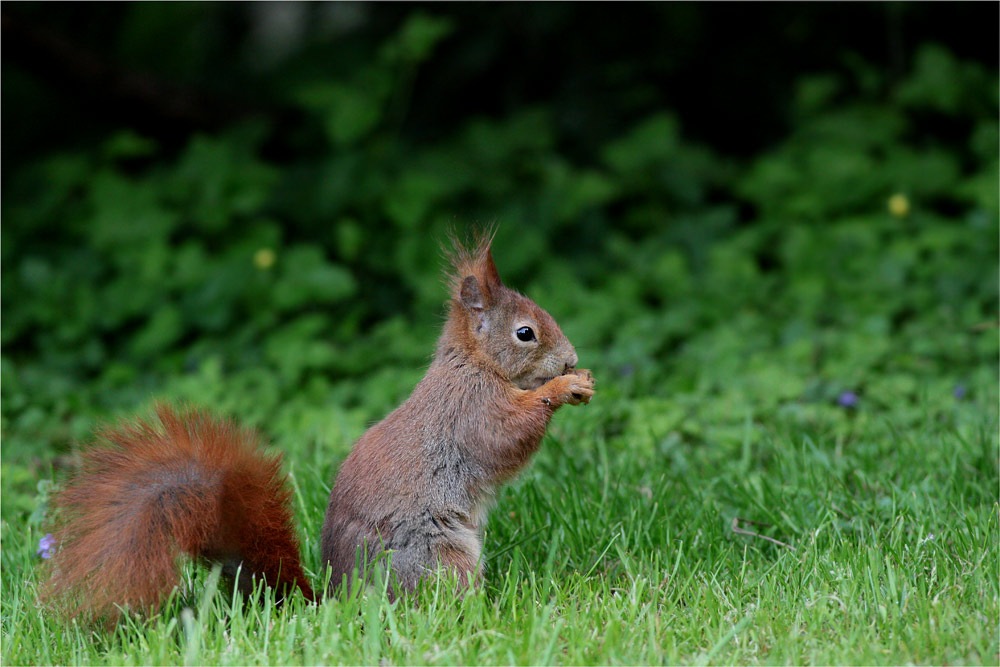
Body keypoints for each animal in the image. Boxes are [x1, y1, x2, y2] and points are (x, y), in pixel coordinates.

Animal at [43, 235, 592, 620]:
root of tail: (337, 602)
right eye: (525, 333)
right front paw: (562, 388)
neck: (474, 364)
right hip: (436, 557)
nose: (571, 358)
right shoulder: (471, 410)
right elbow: (505, 438)